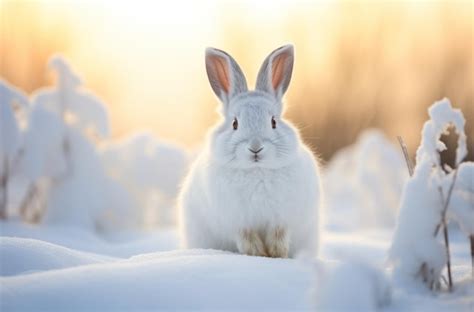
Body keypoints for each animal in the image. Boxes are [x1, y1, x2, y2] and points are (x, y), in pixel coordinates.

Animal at [179, 44, 322, 258]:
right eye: (235, 124)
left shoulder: (282, 219)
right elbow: (247, 238)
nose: (255, 148)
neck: (257, 170)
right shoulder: (238, 222)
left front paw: (278, 254)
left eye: (273, 122)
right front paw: (258, 255)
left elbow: (279, 235)